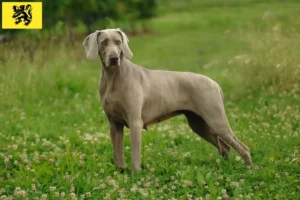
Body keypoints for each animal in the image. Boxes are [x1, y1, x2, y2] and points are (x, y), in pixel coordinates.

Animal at [83, 28, 252, 173]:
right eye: (104, 42)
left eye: (118, 42)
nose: (114, 58)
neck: (113, 77)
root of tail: (215, 83)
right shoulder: (114, 124)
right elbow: (117, 154)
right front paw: (120, 174)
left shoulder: (135, 122)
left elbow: (135, 155)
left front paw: (135, 176)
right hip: (199, 124)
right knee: (225, 148)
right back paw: (226, 168)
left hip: (216, 120)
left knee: (242, 147)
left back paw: (249, 169)